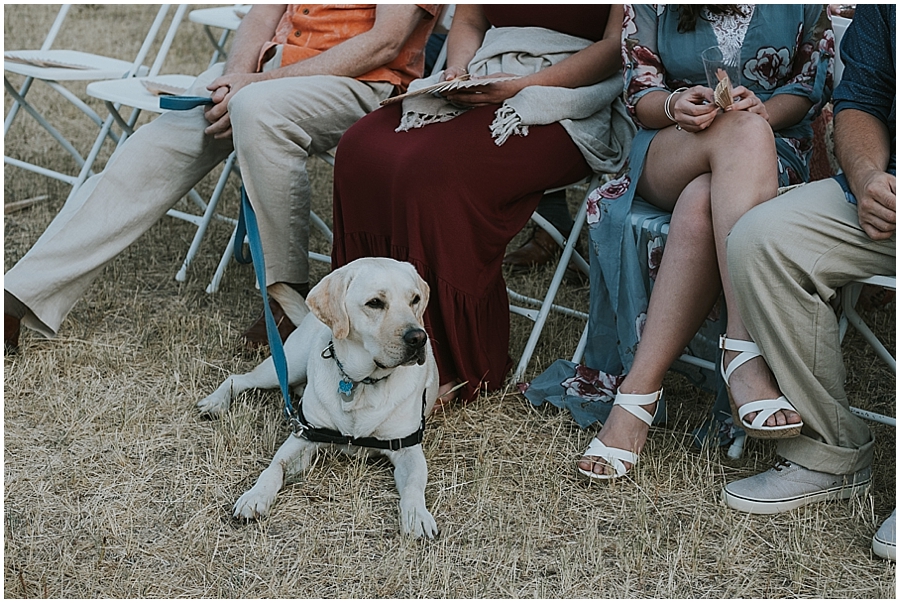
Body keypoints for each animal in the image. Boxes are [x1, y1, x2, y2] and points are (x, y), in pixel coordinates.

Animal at [197, 258, 440, 540]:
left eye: (415, 299)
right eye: (375, 303)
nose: (418, 338)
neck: (361, 382)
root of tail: (308, 316)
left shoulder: (407, 448)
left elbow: (414, 484)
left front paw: (417, 515)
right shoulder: (303, 436)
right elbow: (273, 468)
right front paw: (255, 496)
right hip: (286, 365)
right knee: (239, 378)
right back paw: (216, 401)